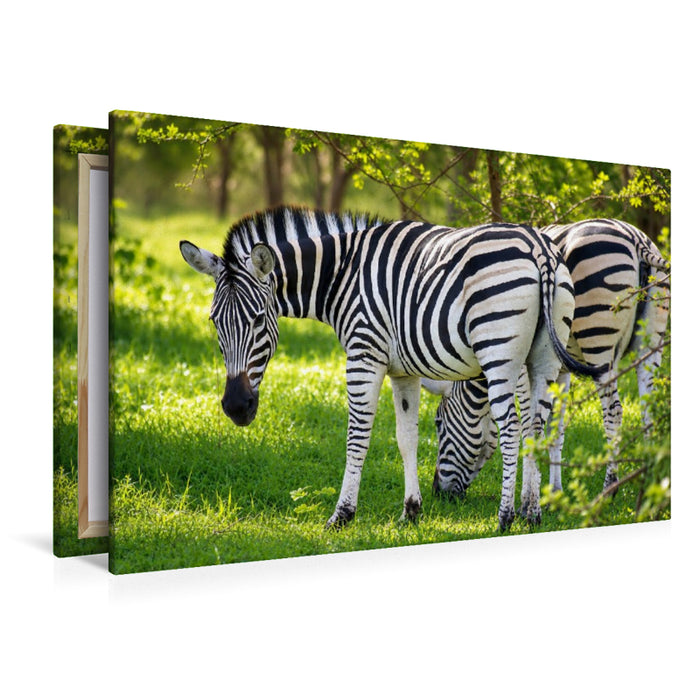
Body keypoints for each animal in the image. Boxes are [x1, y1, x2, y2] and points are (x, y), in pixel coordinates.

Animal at [179, 206, 603, 531]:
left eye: (256, 320)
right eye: (215, 322)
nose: (236, 407)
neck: (340, 275)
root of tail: (539, 247)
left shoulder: (363, 355)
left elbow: (357, 437)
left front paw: (342, 515)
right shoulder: (404, 370)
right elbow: (406, 437)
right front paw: (411, 512)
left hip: (498, 351)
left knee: (513, 428)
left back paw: (504, 517)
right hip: (542, 358)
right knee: (537, 426)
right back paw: (532, 513)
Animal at [426, 218, 670, 507]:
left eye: (438, 423)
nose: (437, 493)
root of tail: (635, 237)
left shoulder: (522, 368)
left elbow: (528, 423)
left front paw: (526, 498)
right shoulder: (559, 369)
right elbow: (556, 426)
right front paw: (554, 491)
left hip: (598, 339)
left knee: (614, 411)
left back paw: (609, 489)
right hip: (651, 343)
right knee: (649, 411)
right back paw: (649, 487)